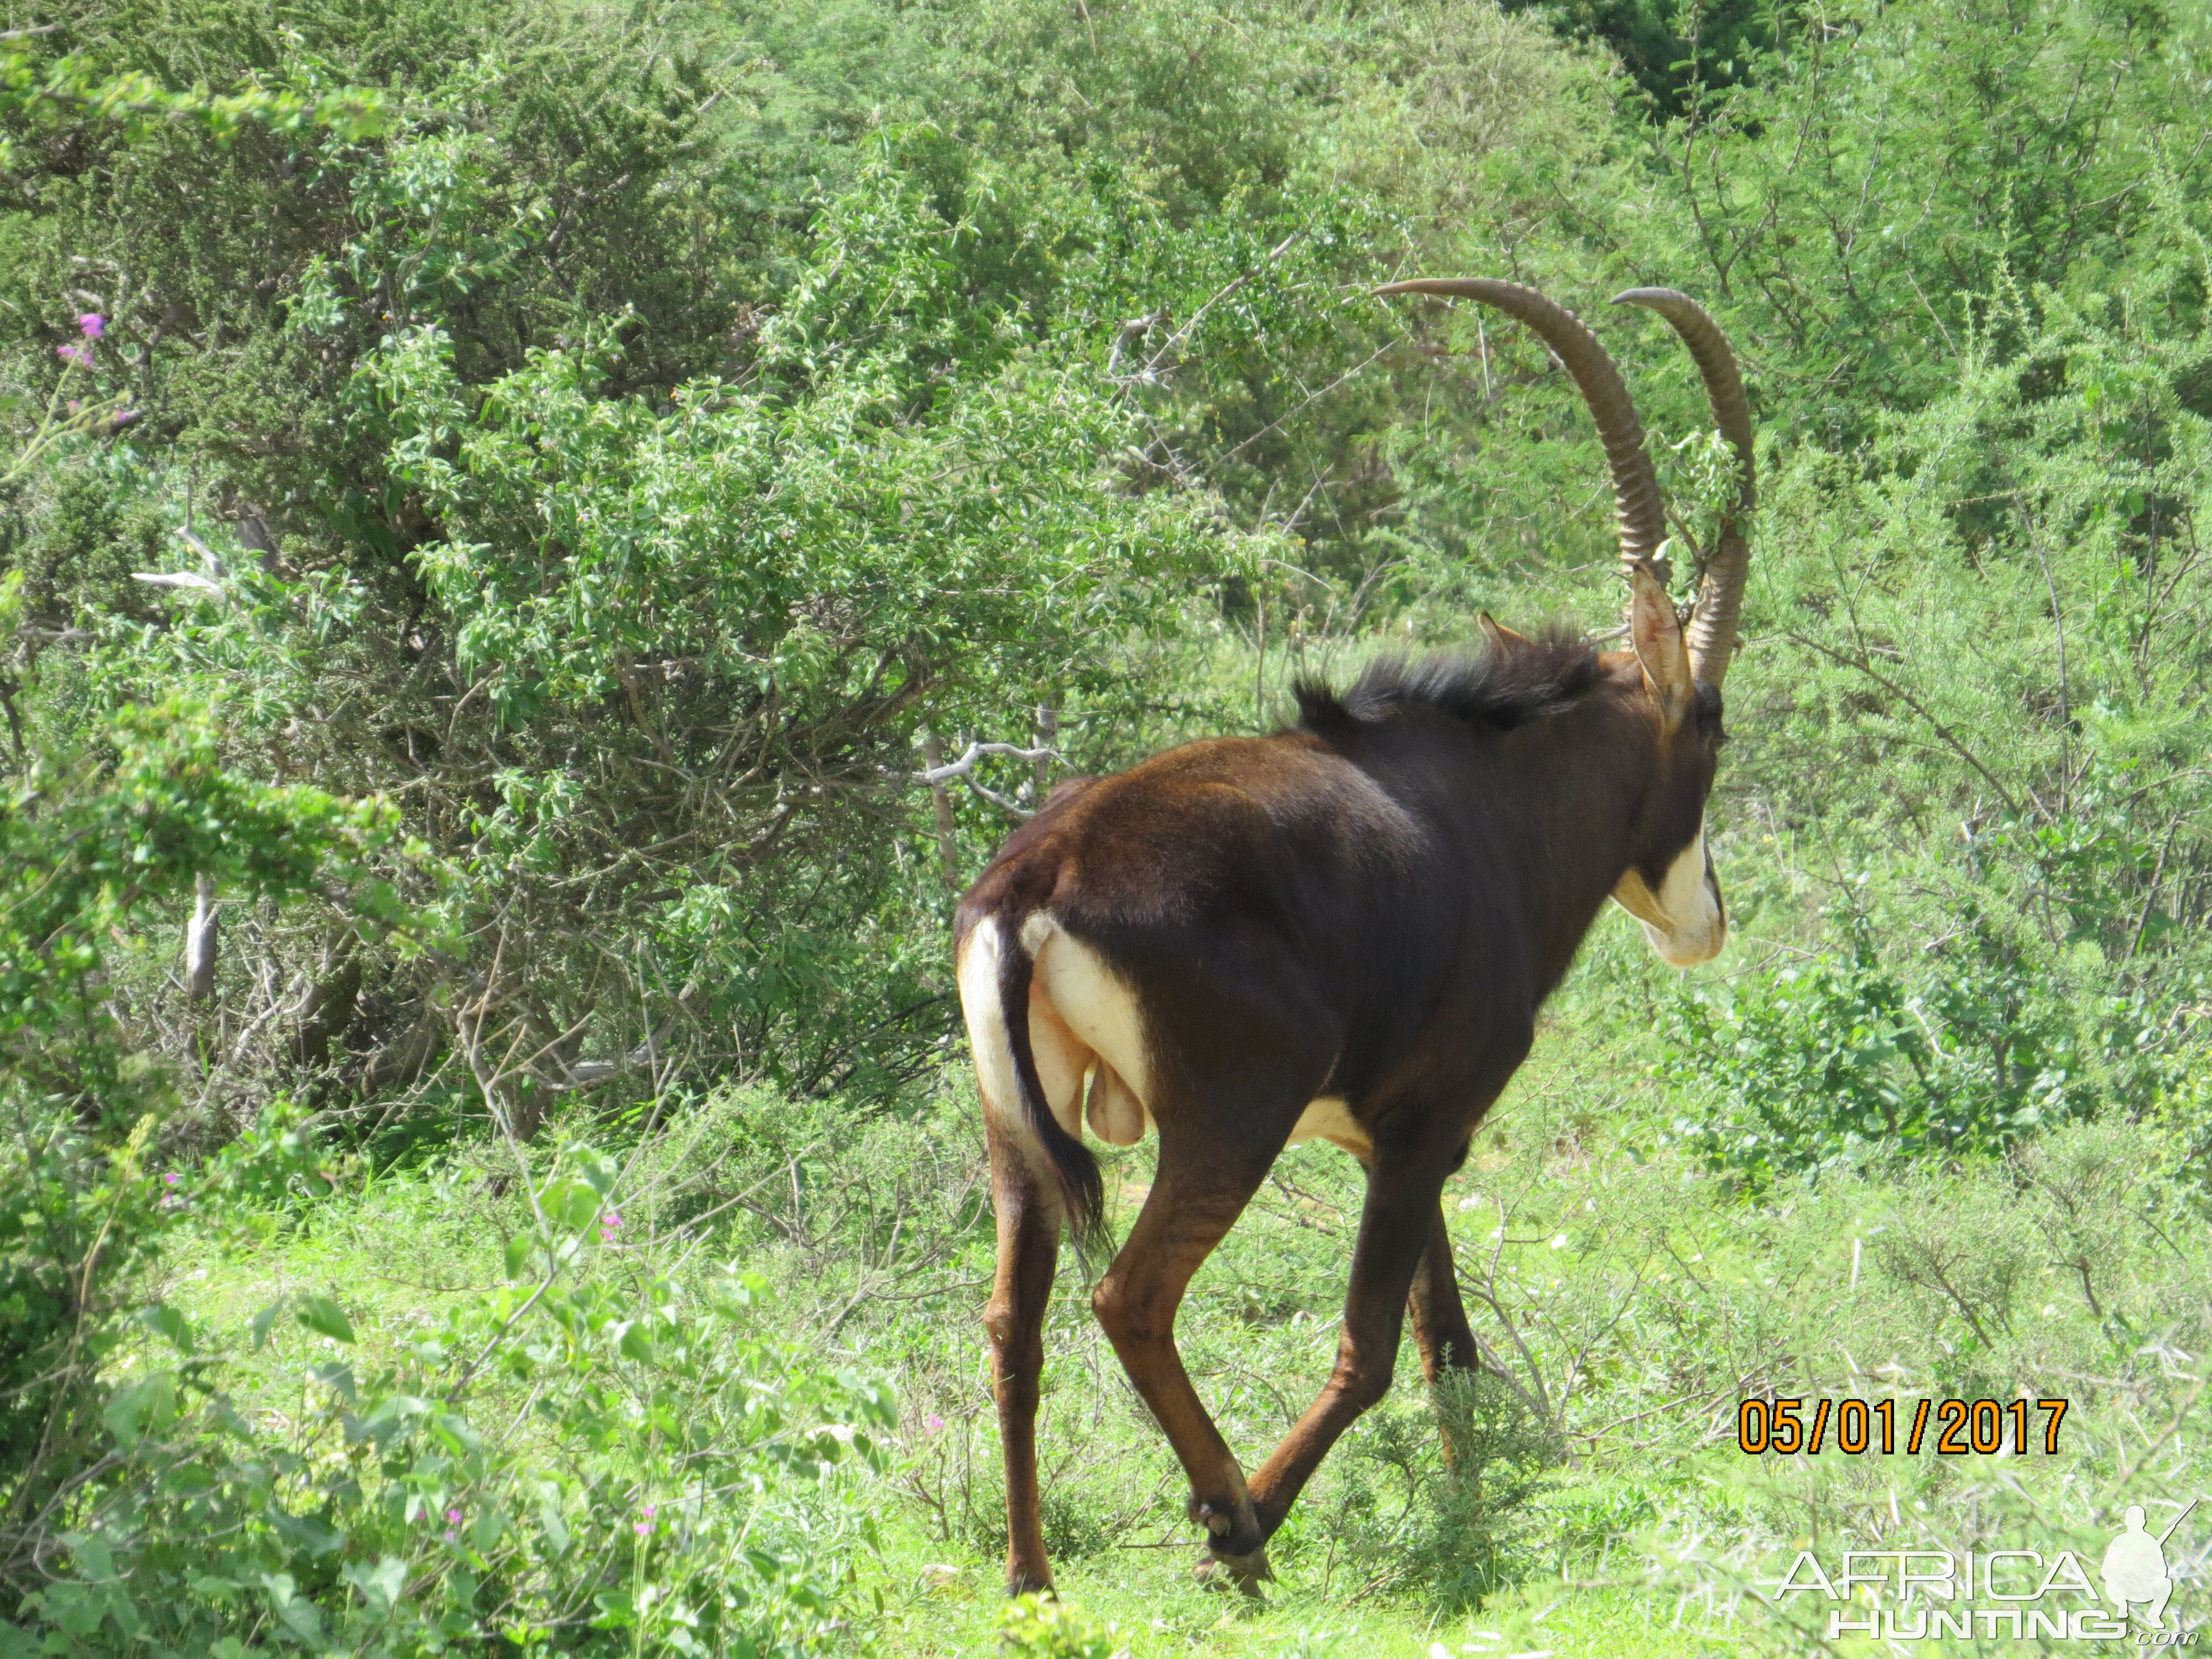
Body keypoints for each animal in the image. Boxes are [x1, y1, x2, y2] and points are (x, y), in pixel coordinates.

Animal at [960, 283, 1752, 1601]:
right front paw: (1248, 1529)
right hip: (1231, 1121)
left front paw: (1465, 1513)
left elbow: (1447, 1340)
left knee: (1013, 1326)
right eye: (1715, 729)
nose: (1708, 921)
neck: (1489, 795)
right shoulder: (1429, 1123)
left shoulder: (1398, 1137)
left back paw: (1032, 1581)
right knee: (1129, 1299)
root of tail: (1038, 873)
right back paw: (1231, 1515)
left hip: (1017, 1137)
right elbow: (1376, 1346)